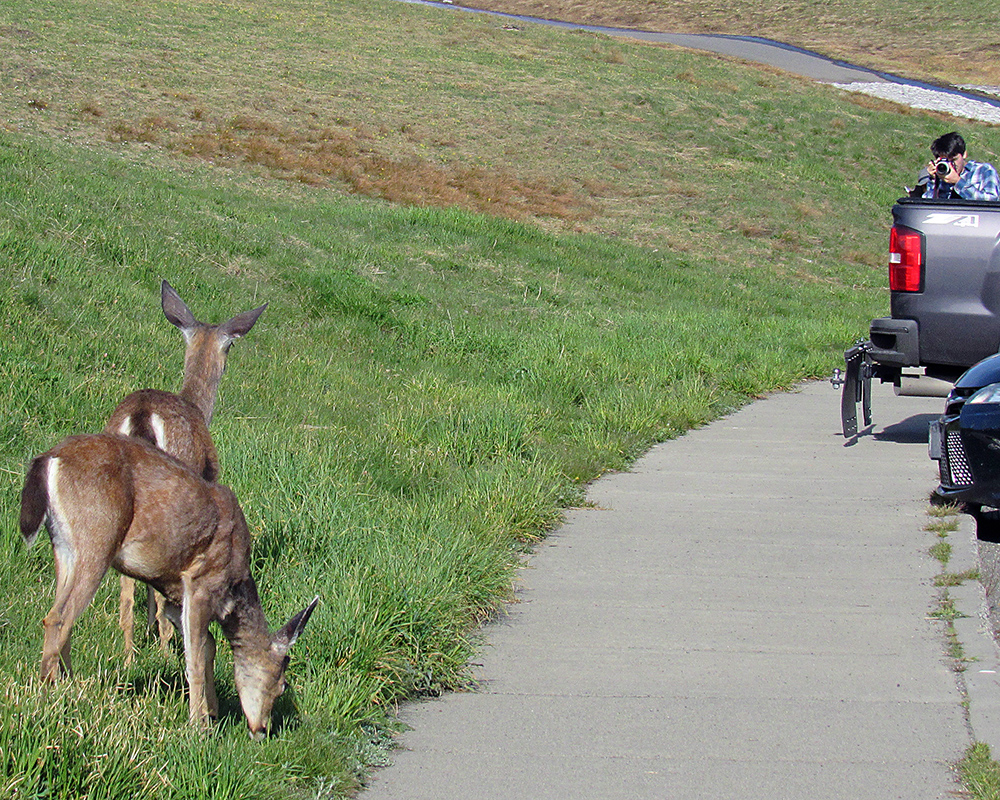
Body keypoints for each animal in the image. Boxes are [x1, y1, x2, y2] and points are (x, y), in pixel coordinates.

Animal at [19, 432, 316, 736]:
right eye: (281, 685)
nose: (262, 730)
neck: (235, 586)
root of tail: (50, 459)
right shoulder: (201, 581)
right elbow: (194, 657)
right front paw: (198, 727)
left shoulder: (175, 595)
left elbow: (207, 646)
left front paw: (212, 713)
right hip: (97, 537)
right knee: (60, 617)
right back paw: (51, 690)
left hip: (63, 547)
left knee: (58, 615)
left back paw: (68, 684)